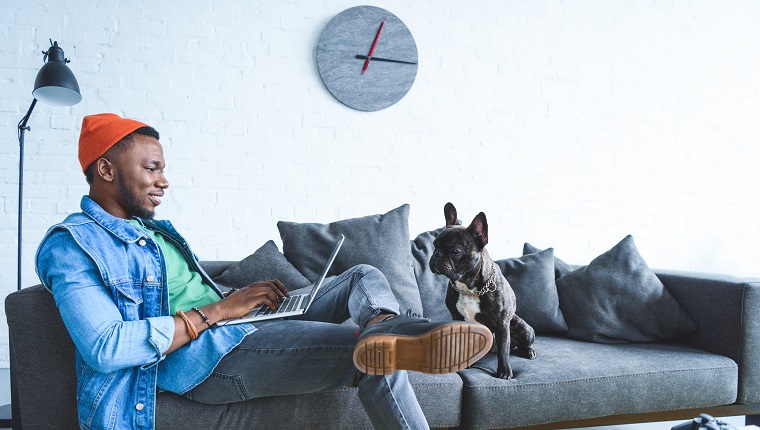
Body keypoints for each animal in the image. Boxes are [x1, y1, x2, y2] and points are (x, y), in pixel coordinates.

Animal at [430, 203, 536, 378]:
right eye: (434, 245)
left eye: (455, 251)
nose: (437, 254)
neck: (469, 287)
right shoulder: (457, 318)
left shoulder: (502, 324)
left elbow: (504, 351)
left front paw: (504, 371)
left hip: (524, 328)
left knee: (517, 345)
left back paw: (528, 351)